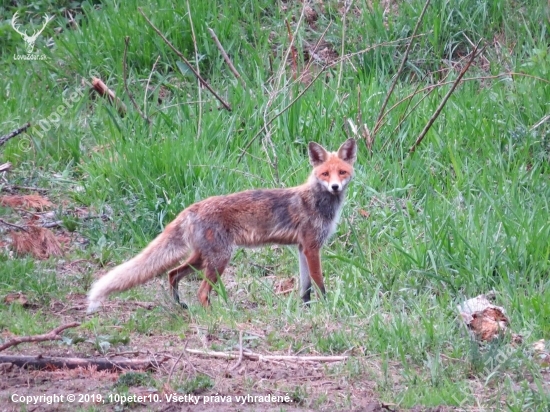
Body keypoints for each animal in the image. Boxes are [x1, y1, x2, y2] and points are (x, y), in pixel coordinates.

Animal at [87, 138, 358, 312]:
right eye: (325, 174)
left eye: (342, 172)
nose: (335, 187)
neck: (317, 201)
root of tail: (191, 208)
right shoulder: (312, 247)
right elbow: (320, 282)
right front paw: (328, 309)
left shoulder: (302, 248)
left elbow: (306, 288)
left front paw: (307, 311)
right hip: (220, 259)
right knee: (200, 291)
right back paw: (215, 316)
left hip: (203, 258)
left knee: (172, 273)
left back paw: (181, 306)